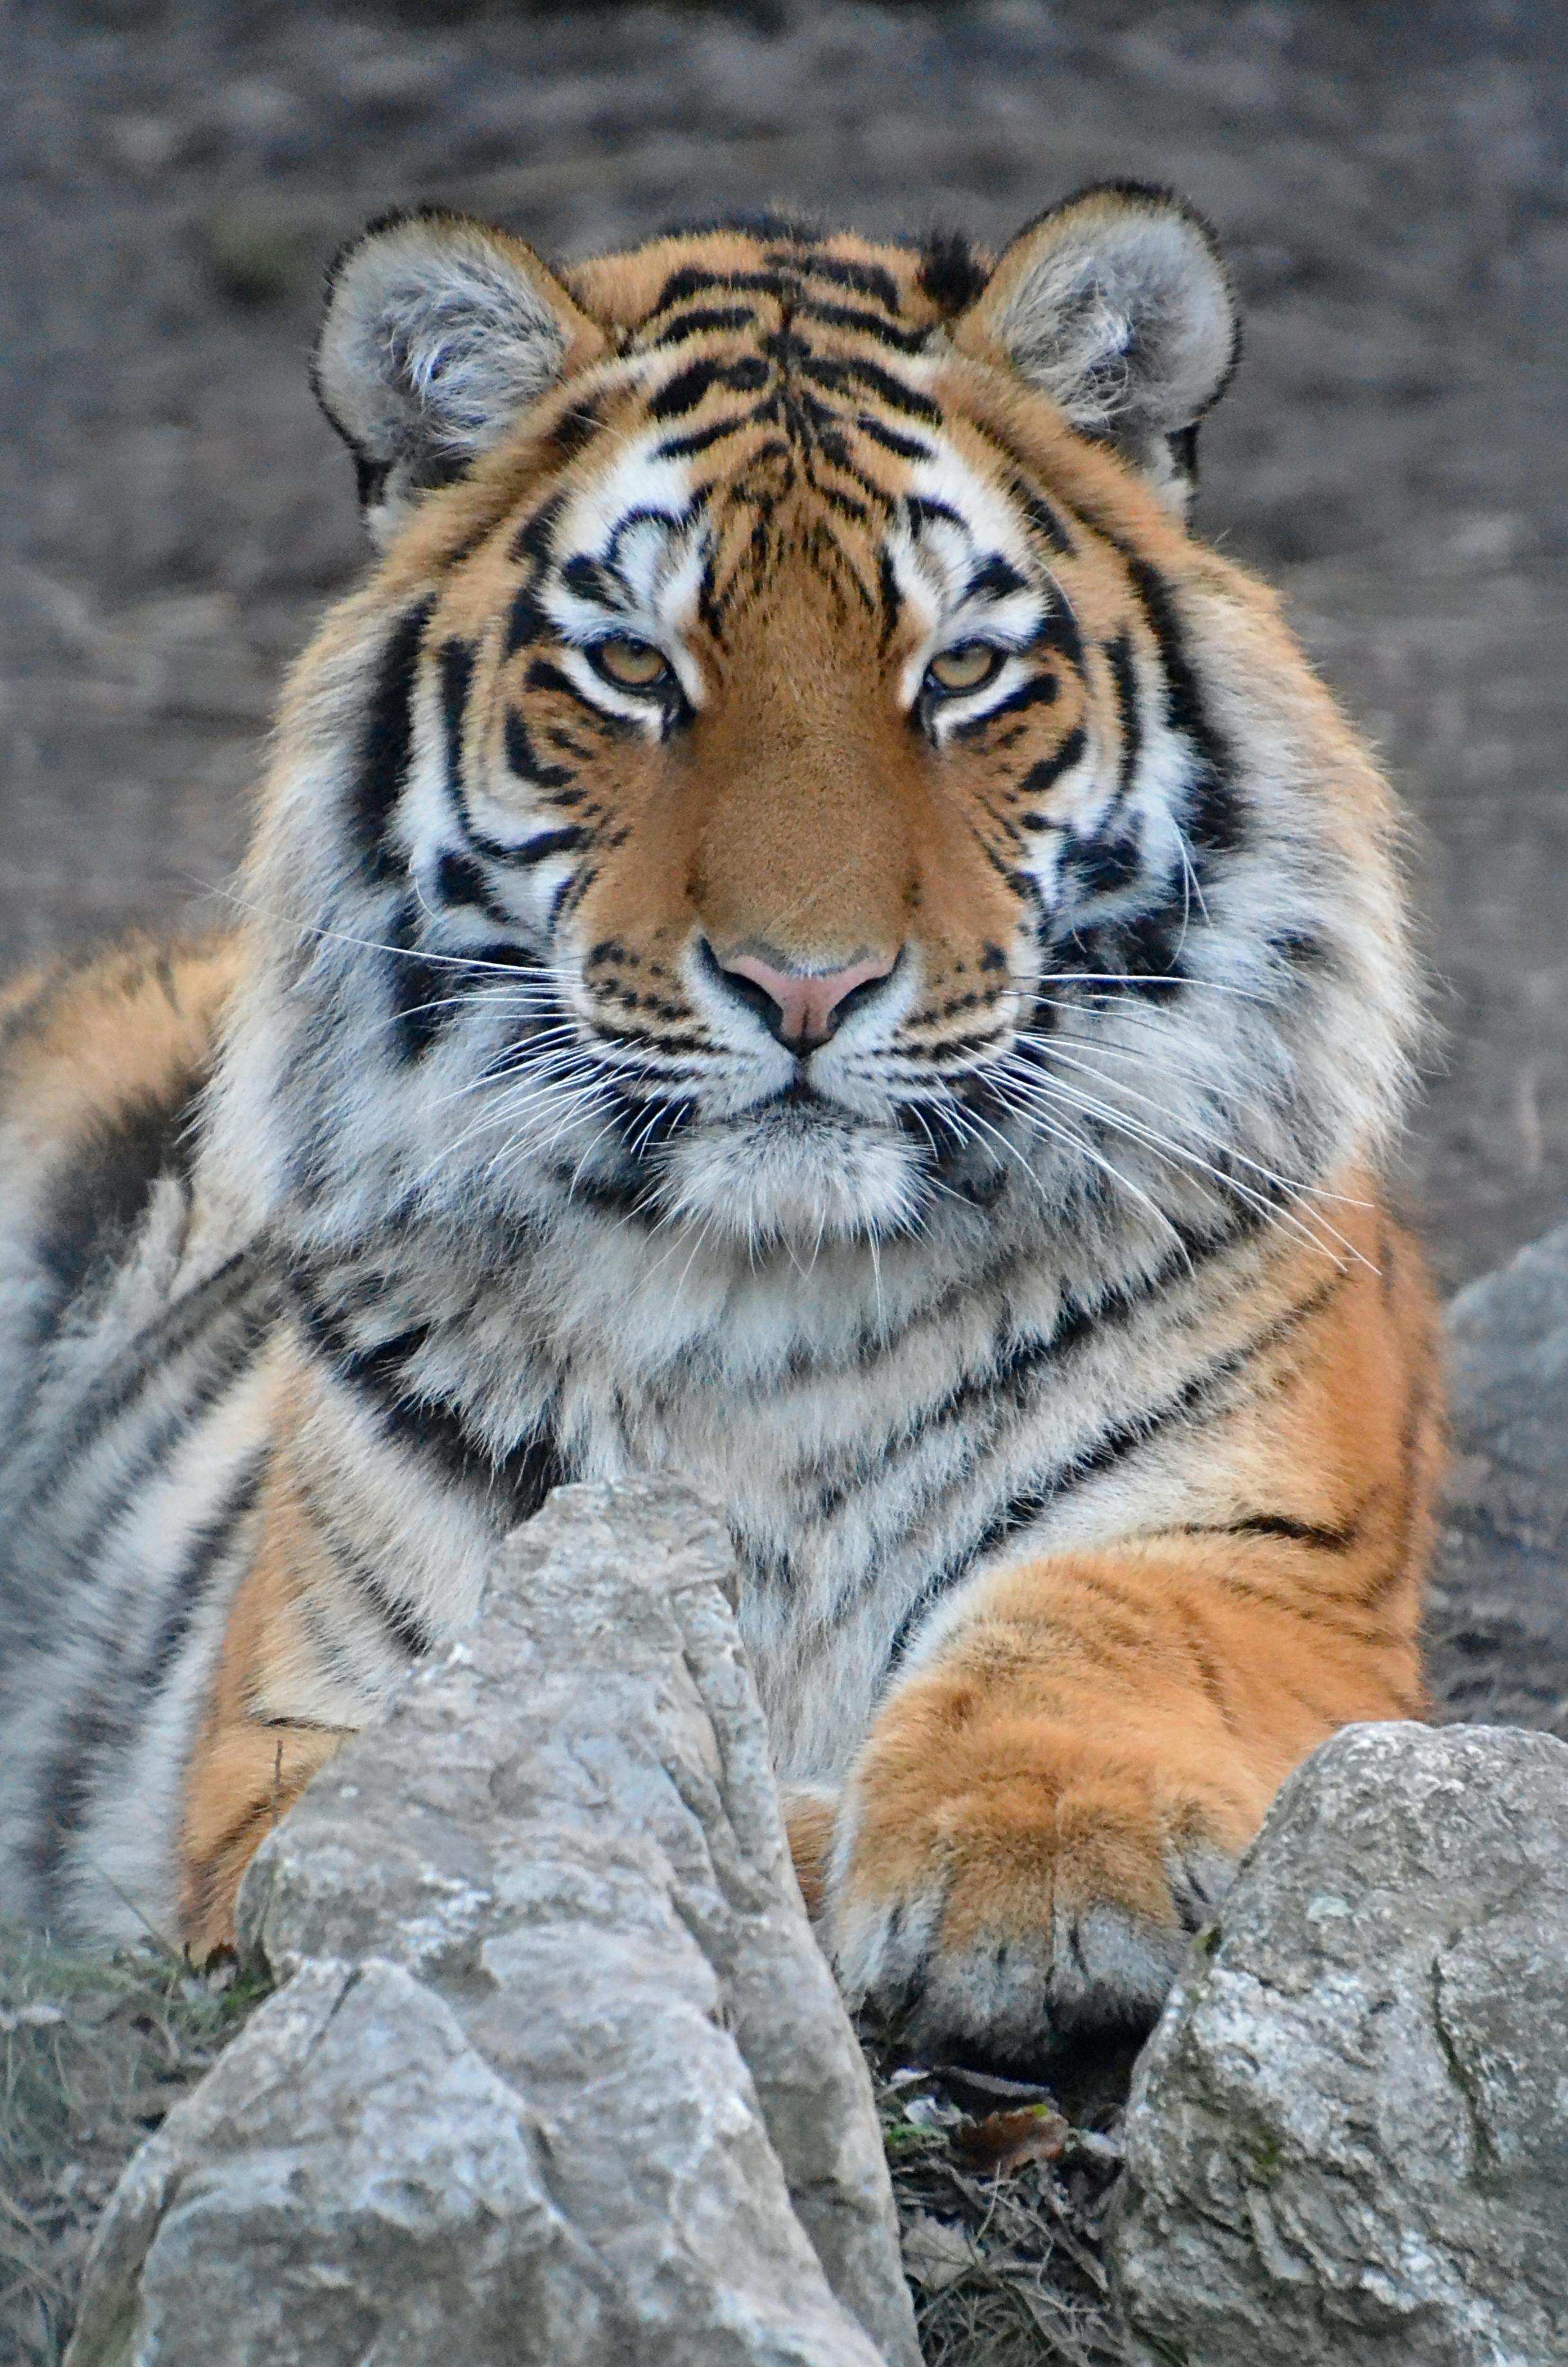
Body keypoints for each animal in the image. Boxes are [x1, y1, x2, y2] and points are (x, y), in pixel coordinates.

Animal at [0, 184, 1441, 2062]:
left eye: (959, 671)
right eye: (632, 666)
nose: (803, 985)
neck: (782, 1297)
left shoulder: (1272, 1563)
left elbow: (1098, 1621)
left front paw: (1031, 1866)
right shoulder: (304, 1738)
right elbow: (567, 1820)